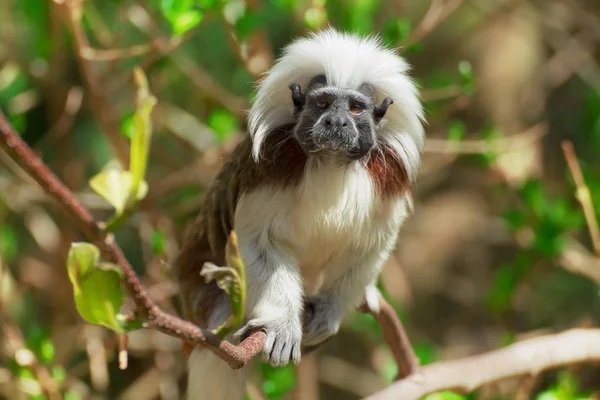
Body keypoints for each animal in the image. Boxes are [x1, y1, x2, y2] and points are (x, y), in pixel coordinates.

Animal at [172, 28, 426, 400]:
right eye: (322, 103)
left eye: (356, 108)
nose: (336, 121)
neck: (331, 161)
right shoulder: (270, 167)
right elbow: (259, 243)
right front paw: (281, 324)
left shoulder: (388, 176)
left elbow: (371, 247)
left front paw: (330, 311)